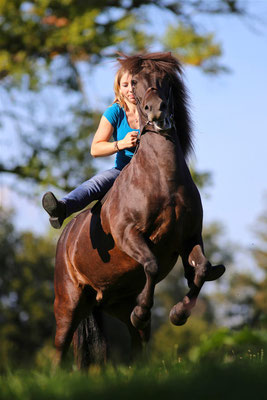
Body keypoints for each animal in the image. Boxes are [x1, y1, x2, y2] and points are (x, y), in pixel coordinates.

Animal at [54, 53, 226, 368]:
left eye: (167, 79)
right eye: (133, 82)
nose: (156, 110)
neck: (163, 181)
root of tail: (64, 240)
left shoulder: (190, 238)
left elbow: (201, 269)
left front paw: (178, 314)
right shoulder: (128, 235)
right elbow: (152, 264)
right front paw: (144, 311)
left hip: (112, 301)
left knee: (136, 338)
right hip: (69, 302)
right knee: (60, 347)